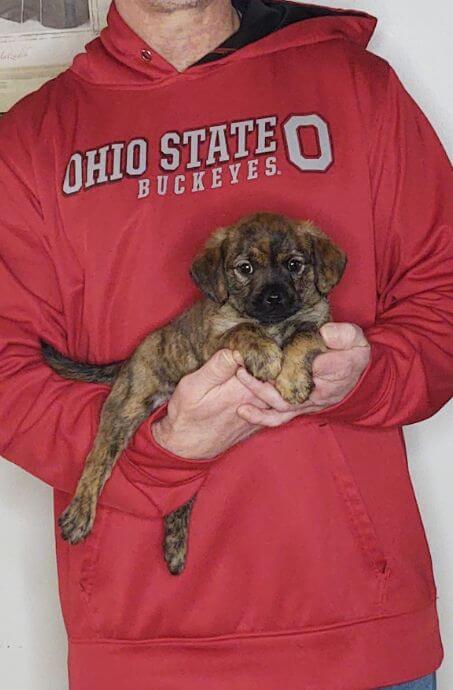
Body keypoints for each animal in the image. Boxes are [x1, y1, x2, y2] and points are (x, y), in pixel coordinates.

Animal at [42, 211, 346, 576]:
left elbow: (304, 333)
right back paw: (79, 514)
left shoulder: (322, 326)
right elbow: (243, 328)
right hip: (125, 408)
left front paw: (293, 378)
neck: (271, 322)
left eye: (294, 264)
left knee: (179, 494)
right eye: (245, 268)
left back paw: (175, 545)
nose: (273, 298)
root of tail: (130, 359)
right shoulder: (215, 343)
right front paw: (265, 353)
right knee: (98, 458)